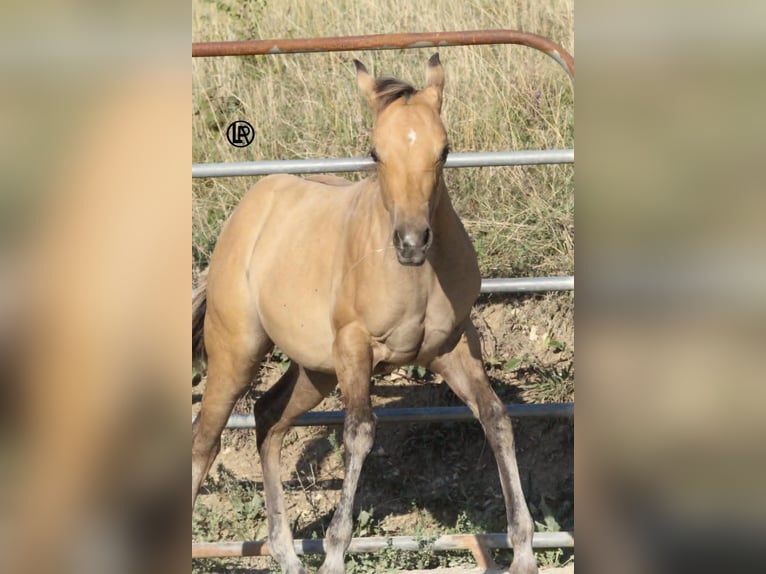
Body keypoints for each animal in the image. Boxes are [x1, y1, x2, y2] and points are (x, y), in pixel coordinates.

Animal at [192, 54, 538, 574]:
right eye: (375, 152)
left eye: (445, 150)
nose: (411, 242)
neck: (414, 277)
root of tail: (250, 208)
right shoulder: (355, 346)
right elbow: (359, 432)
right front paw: (335, 554)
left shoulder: (454, 345)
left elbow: (496, 418)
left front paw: (523, 552)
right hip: (238, 351)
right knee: (205, 440)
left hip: (315, 368)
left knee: (269, 417)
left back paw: (287, 555)